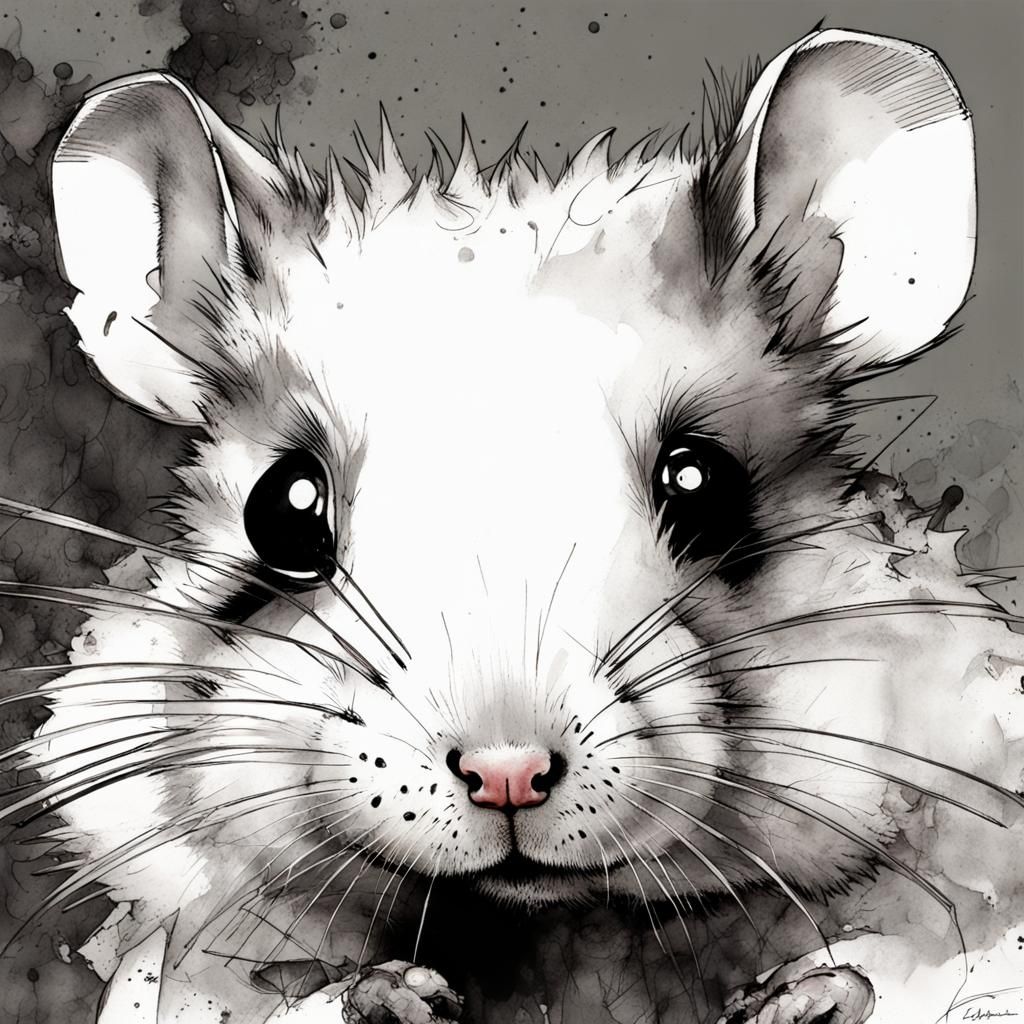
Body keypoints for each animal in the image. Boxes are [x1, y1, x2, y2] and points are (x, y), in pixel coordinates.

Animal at [5, 24, 1024, 1024]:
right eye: (283, 508)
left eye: (704, 484)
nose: (507, 773)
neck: (551, 927)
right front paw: (380, 997)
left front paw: (816, 995)